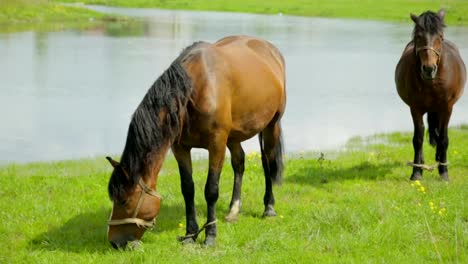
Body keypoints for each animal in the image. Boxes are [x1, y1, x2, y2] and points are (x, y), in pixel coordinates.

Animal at [106, 35, 288, 250]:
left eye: (124, 201)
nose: (115, 242)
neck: (194, 91)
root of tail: (270, 49)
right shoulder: (180, 148)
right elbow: (188, 189)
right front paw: (190, 234)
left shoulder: (216, 144)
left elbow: (211, 190)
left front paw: (210, 236)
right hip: (234, 136)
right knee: (239, 163)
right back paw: (233, 210)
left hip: (271, 126)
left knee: (267, 162)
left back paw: (269, 207)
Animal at [394, 8, 464, 182]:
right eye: (418, 37)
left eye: (440, 37)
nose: (428, 69)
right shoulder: (415, 108)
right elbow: (418, 138)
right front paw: (416, 172)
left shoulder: (447, 108)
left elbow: (444, 138)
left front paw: (444, 172)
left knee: (438, 135)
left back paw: (439, 160)